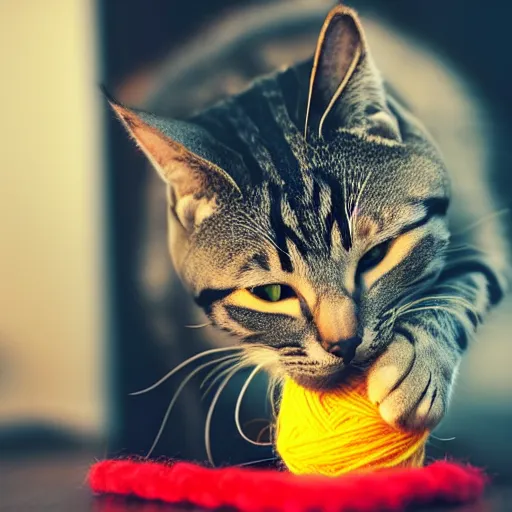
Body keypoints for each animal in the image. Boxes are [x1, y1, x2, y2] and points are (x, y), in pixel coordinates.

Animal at [107, 0, 508, 462]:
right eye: (270, 293)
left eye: (376, 256)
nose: (344, 344)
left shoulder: (486, 237)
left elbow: (458, 289)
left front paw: (415, 361)